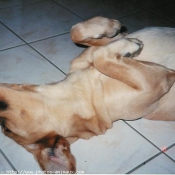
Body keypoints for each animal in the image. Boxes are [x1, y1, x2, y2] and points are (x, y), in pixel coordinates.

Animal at [0, 16, 174, 172]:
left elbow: (76, 32)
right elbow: (101, 58)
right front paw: (129, 45)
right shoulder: (156, 81)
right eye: (6, 129)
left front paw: (112, 26)